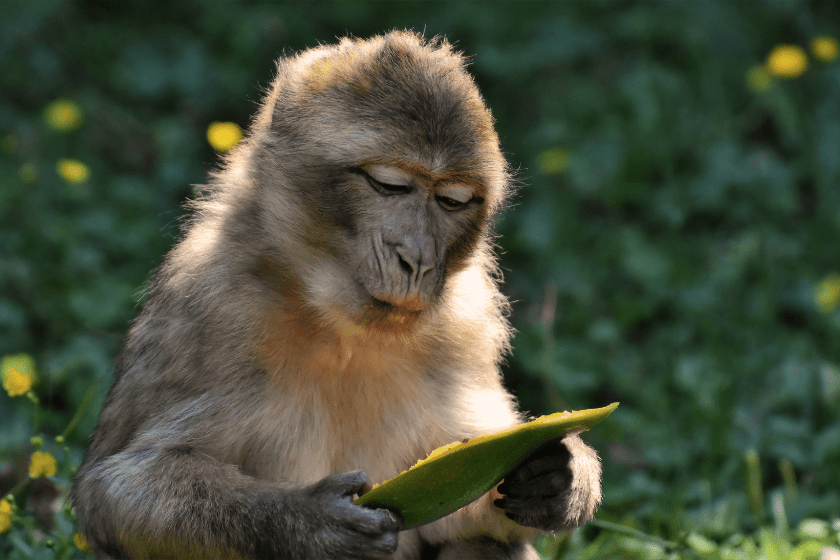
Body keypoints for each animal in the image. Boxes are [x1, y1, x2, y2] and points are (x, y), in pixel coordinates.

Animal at [69, 31, 600, 560]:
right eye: (389, 185)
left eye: (452, 201)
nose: (417, 260)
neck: (338, 323)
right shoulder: (212, 307)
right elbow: (115, 489)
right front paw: (310, 521)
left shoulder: (466, 321)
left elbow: (462, 481)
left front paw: (559, 475)